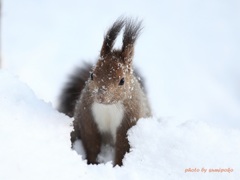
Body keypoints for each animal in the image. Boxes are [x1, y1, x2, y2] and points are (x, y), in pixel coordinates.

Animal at [58, 17, 151, 166]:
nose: (101, 96)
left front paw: (117, 166)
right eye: (92, 75)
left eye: (122, 81)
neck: (109, 106)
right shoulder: (88, 117)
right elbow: (92, 144)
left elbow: (122, 148)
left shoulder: (129, 121)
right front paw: (92, 163)